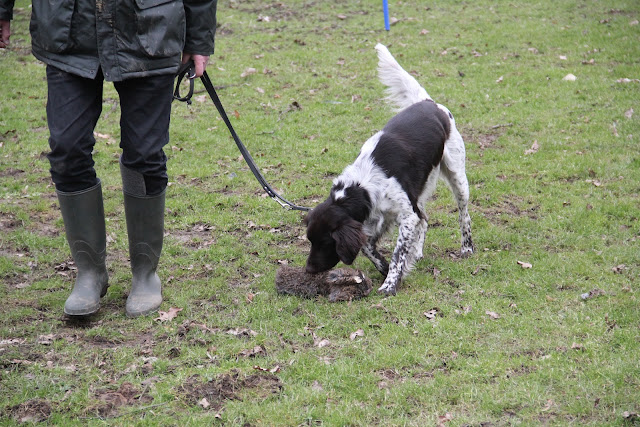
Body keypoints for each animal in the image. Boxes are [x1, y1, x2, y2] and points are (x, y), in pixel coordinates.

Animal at [304, 43, 473, 296]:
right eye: (310, 241)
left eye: (325, 242)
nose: (308, 270)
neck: (362, 185)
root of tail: (429, 103)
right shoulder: (379, 217)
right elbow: (368, 247)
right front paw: (384, 268)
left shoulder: (406, 215)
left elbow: (398, 253)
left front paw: (390, 283)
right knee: (425, 218)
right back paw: (419, 252)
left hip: (457, 178)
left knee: (463, 215)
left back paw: (467, 247)